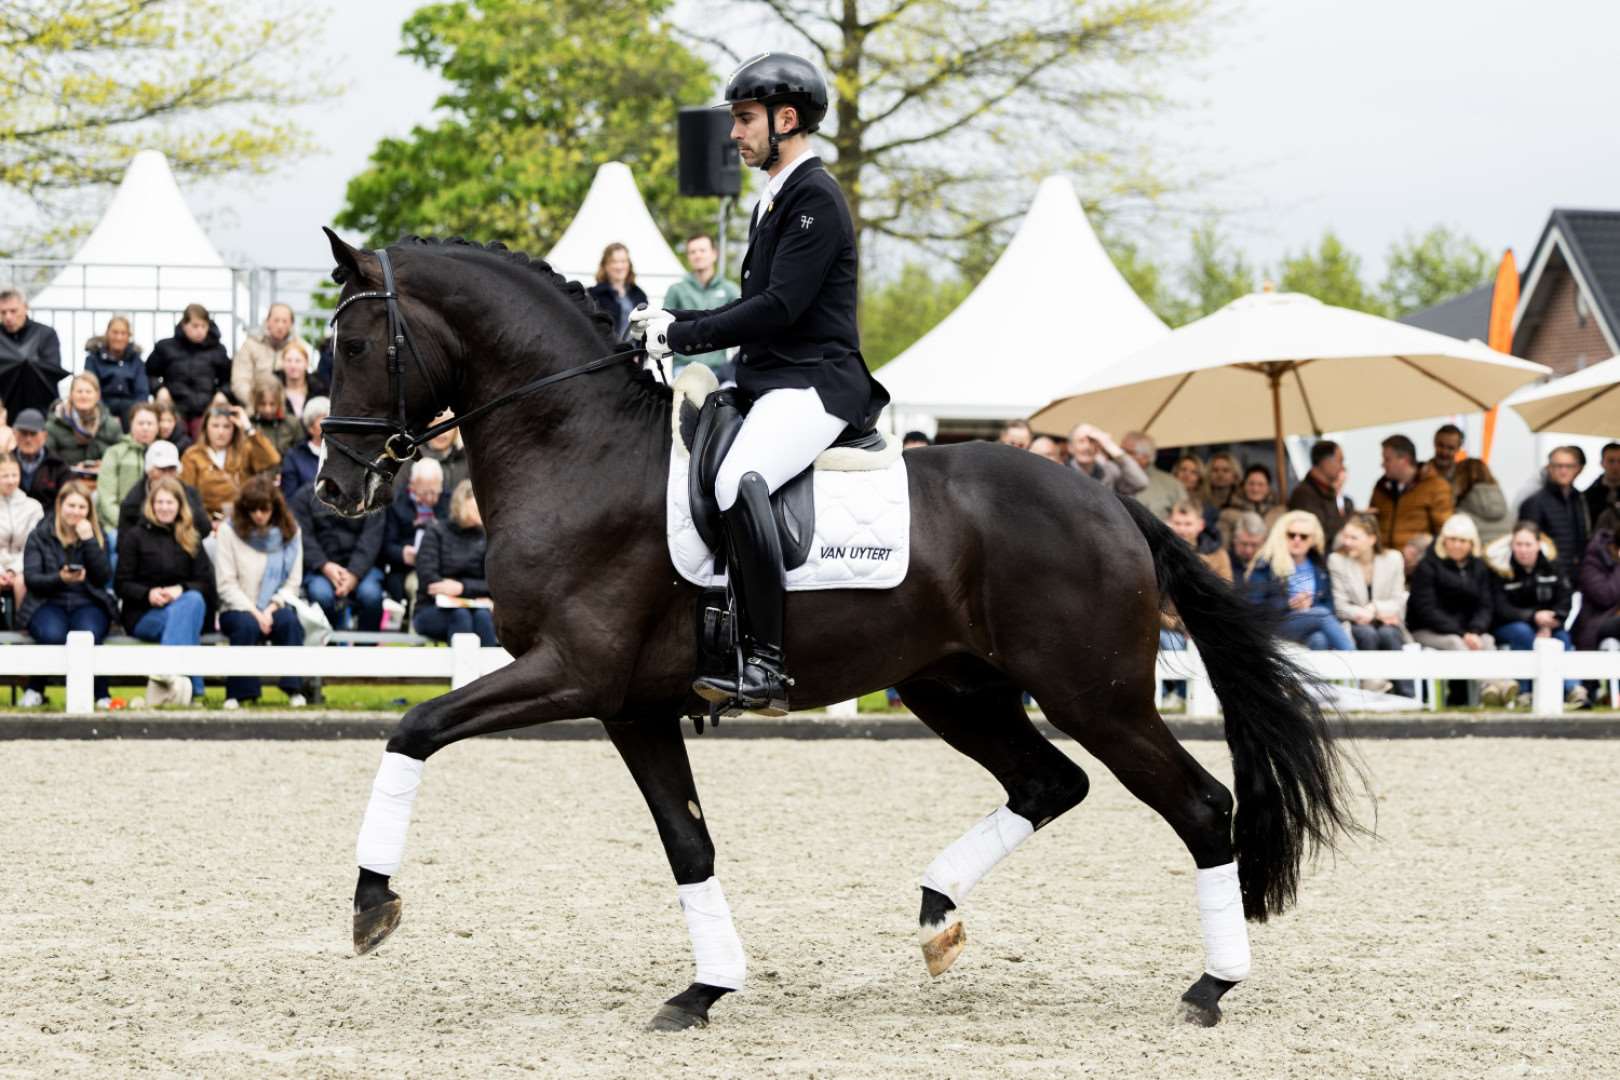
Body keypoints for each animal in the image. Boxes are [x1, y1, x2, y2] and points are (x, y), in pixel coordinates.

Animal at [316, 229, 1360, 1032]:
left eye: (360, 345)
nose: (332, 489)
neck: (578, 447)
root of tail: (1110, 501)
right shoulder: (631, 705)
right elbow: (688, 845)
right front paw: (705, 989)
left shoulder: (572, 671)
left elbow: (414, 728)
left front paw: (371, 903)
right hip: (955, 687)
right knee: (1049, 782)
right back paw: (938, 916)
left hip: (1094, 695)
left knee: (1201, 807)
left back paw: (1211, 986)